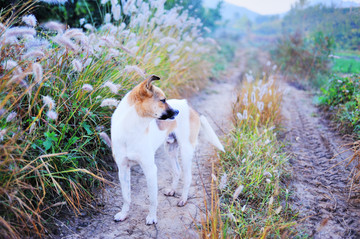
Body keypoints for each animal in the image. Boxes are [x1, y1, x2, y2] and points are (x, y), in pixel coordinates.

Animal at [111, 74, 224, 224]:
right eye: (163, 100)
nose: (177, 112)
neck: (130, 128)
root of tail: (190, 108)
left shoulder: (150, 169)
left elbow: (153, 199)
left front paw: (152, 217)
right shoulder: (123, 168)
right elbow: (126, 196)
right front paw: (123, 214)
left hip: (186, 151)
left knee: (187, 177)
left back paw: (183, 199)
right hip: (170, 150)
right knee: (177, 171)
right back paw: (172, 190)